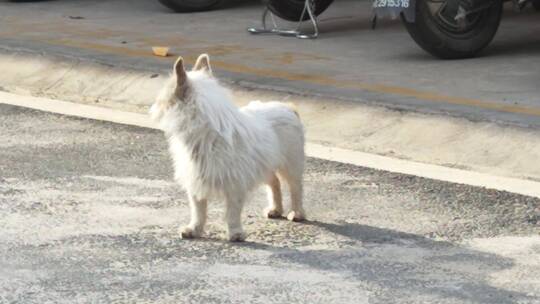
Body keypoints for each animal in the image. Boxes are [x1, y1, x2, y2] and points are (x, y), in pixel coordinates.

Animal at [150, 53, 306, 241]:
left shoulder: (235, 184)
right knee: (274, 182)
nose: (152, 109)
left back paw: (297, 212)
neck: (207, 131)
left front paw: (235, 232)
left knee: (295, 187)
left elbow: (233, 211)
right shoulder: (195, 180)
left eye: (162, 100)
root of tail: (288, 107)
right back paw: (275, 209)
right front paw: (194, 228)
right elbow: (198, 209)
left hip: (291, 165)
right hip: (266, 164)